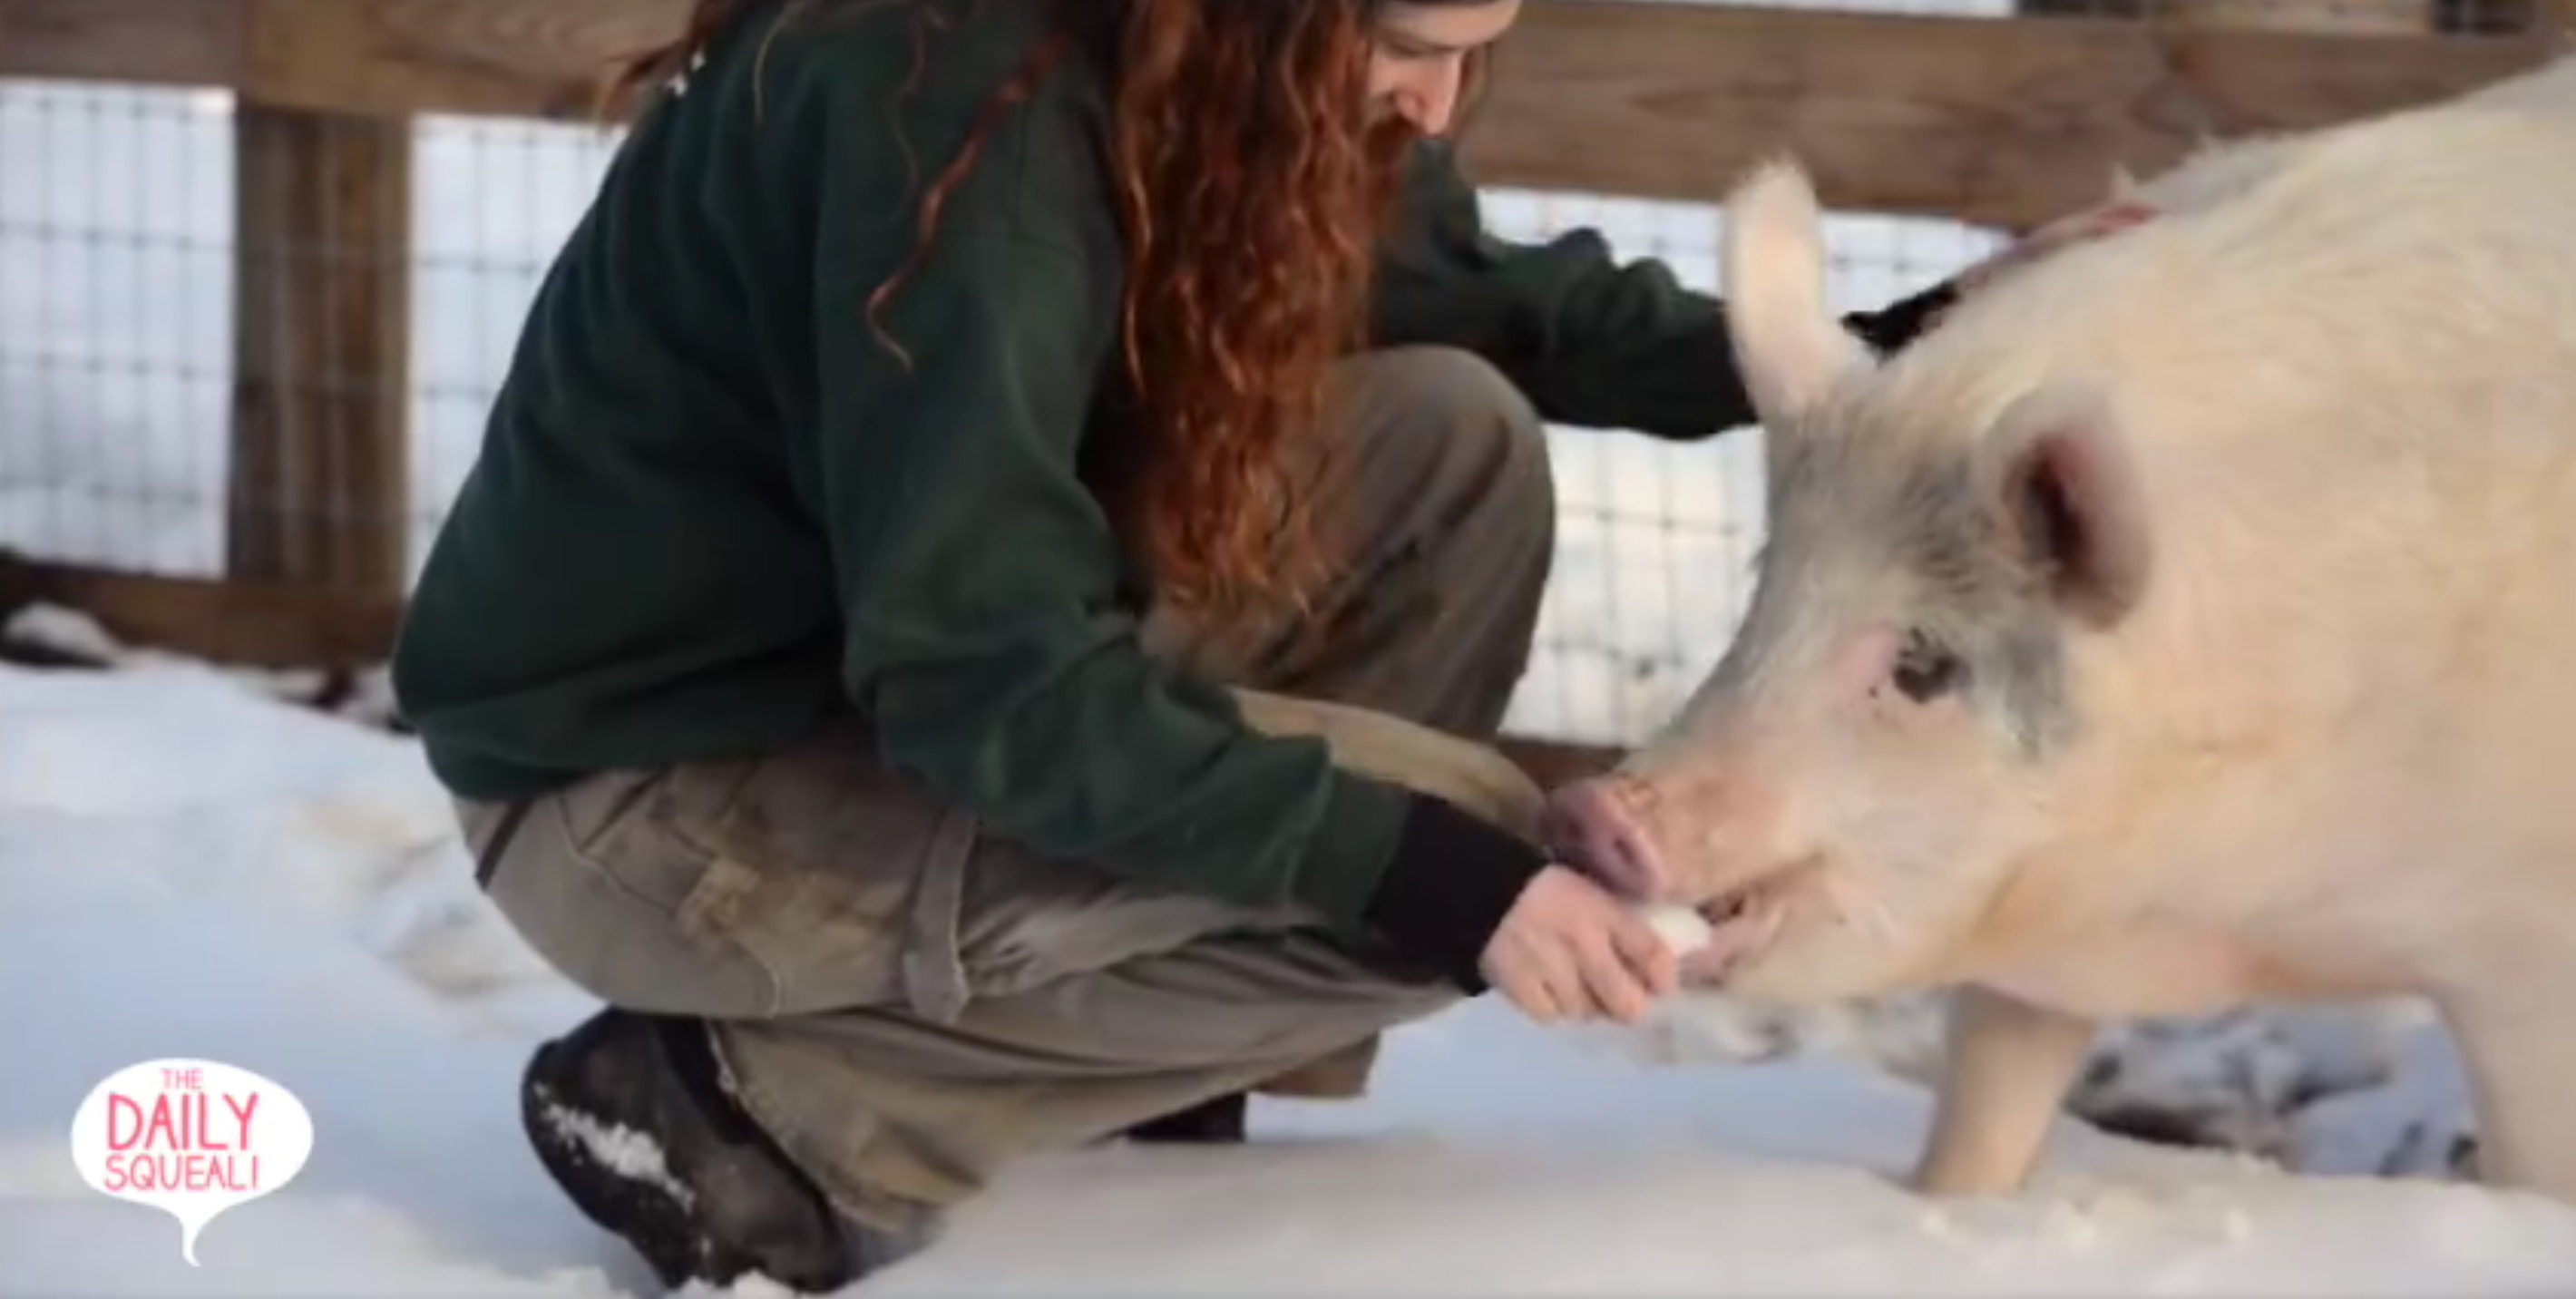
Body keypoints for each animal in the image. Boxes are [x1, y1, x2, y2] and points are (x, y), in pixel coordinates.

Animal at [1543, 53, 2576, 1207]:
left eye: (1921, 663)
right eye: (1770, 582)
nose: (1592, 811)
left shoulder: (2531, 959)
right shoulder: (2027, 952)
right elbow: (1978, 1133)